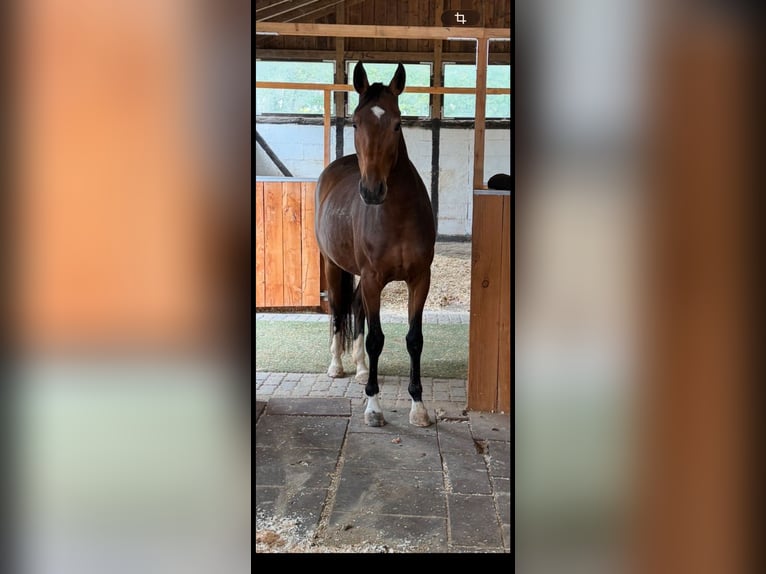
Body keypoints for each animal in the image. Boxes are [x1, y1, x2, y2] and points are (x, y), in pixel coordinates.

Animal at [314, 62, 436, 427]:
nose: (371, 191)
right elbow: (376, 338)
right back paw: (337, 366)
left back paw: (360, 369)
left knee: (354, 307)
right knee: (338, 309)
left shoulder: (419, 279)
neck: (396, 217)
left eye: (397, 123)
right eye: (355, 122)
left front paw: (418, 406)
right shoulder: (372, 279)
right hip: (333, 265)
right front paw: (373, 406)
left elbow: (414, 339)